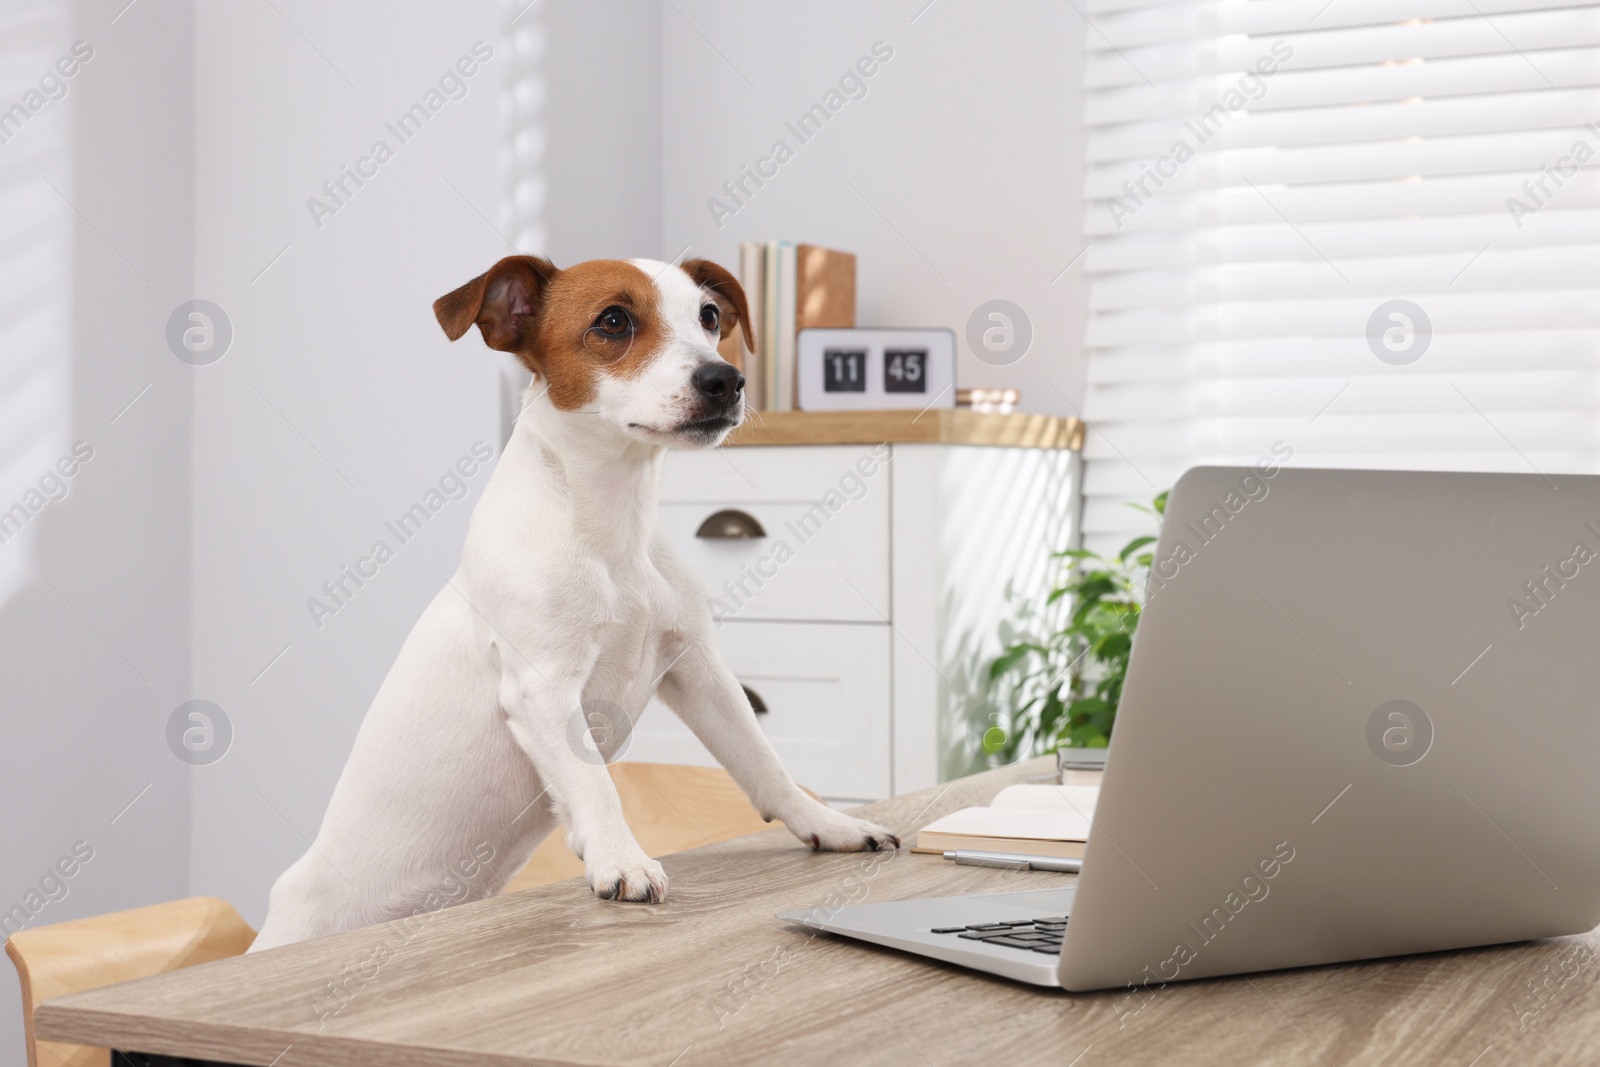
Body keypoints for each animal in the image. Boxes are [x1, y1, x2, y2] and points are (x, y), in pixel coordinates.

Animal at [254, 255, 896, 953]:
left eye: (709, 317)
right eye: (613, 321)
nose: (726, 379)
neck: (613, 527)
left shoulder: (701, 672)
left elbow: (763, 760)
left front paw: (827, 822)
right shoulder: (543, 688)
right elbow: (594, 781)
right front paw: (622, 859)